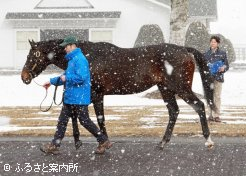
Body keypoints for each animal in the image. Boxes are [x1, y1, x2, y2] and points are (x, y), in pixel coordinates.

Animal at [21, 40, 215, 148]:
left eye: (33, 55)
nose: (24, 76)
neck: (87, 56)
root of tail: (185, 50)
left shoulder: (96, 93)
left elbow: (98, 118)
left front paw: (102, 142)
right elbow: (75, 114)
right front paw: (78, 142)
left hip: (180, 87)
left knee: (199, 106)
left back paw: (208, 140)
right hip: (165, 88)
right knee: (174, 111)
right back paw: (162, 143)